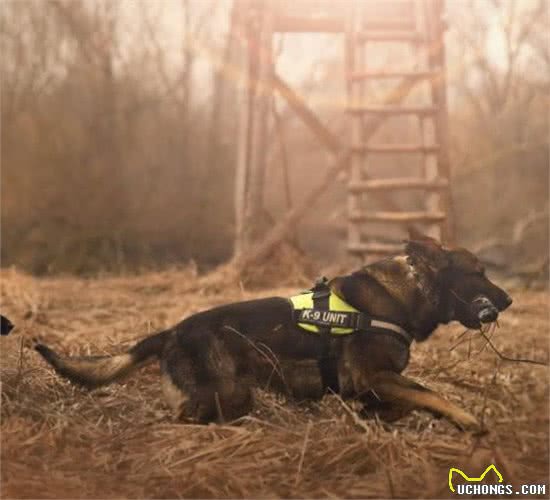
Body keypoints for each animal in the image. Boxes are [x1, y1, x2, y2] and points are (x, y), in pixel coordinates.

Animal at [36, 230, 516, 430]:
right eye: (479, 273)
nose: (509, 301)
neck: (407, 294)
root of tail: (171, 331)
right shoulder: (370, 376)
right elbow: (430, 394)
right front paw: (467, 419)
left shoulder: (373, 383)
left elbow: (407, 399)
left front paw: (377, 417)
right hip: (227, 394)